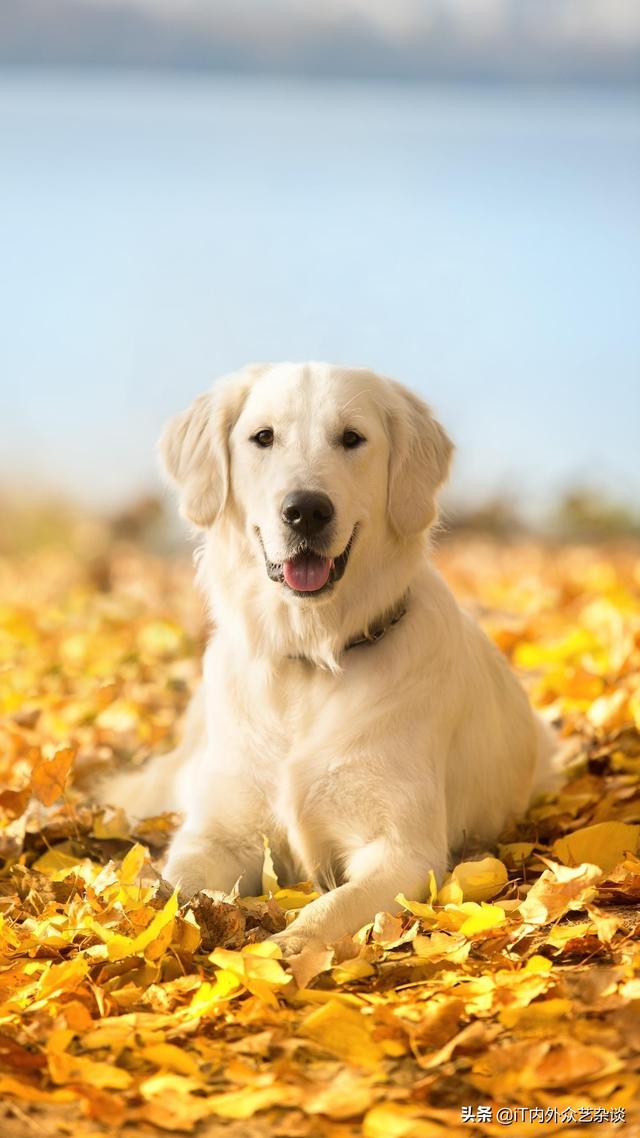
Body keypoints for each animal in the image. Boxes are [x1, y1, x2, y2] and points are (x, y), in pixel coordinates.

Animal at [99, 361, 553, 951]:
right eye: (263, 437)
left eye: (352, 438)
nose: (306, 510)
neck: (310, 660)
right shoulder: (221, 834)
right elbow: (171, 887)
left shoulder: (402, 850)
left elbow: (331, 907)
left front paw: (283, 950)